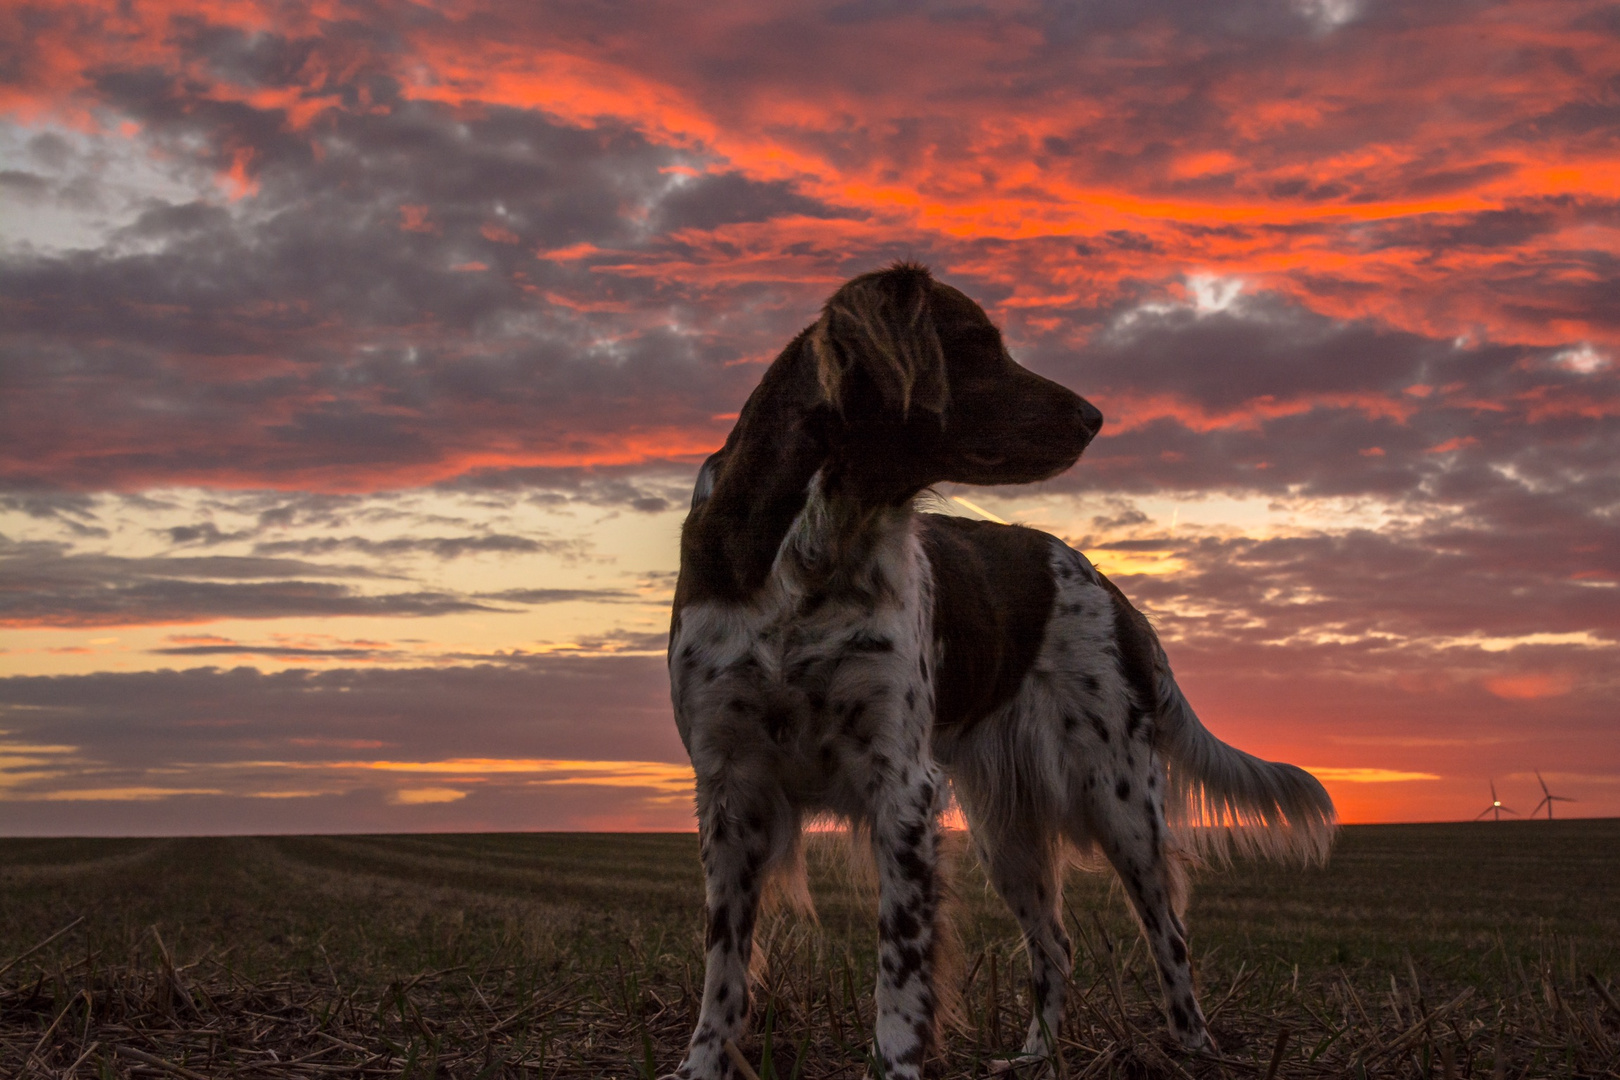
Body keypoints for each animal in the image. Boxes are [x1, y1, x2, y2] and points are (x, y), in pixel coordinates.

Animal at [664, 263, 1334, 1080]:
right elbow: (723, 970)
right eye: (979, 344)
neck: (815, 550)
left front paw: (898, 1065)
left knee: (1168, 937)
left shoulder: (902, 786)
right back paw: (1038, 1056)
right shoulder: (730, 786)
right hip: (1006, 829)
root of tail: (1111, 588)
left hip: (1119, 800)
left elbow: (900, 976)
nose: (1095, 417)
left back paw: (1194, 1051)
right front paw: (701, 1064)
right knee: (1056, 944)